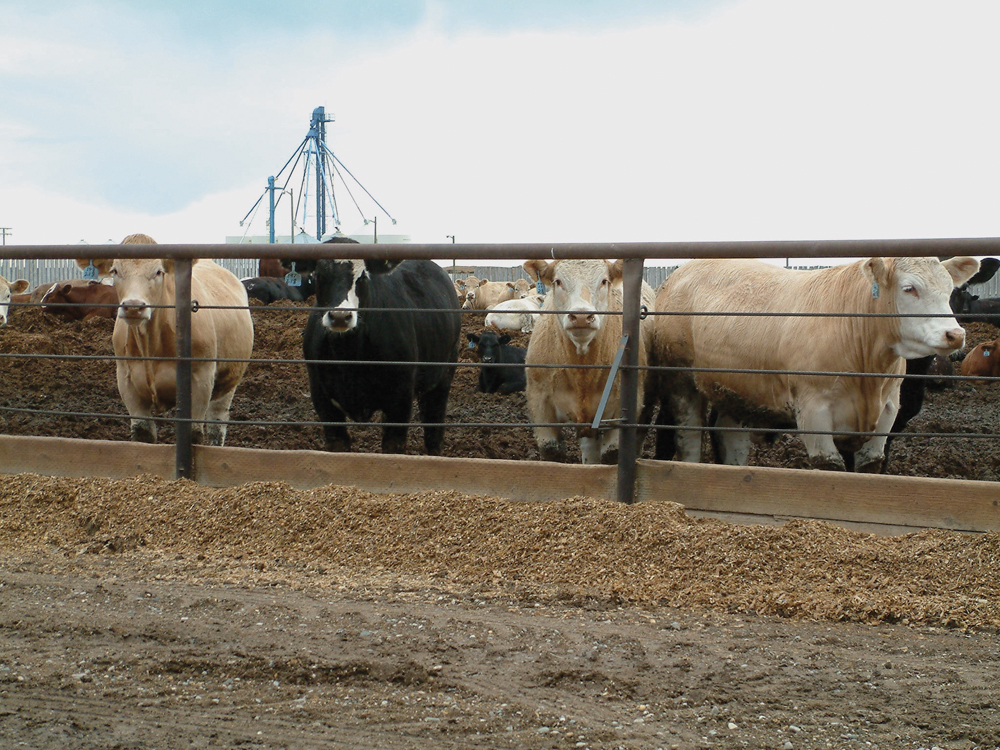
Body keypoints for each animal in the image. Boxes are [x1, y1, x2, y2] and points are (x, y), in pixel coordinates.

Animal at [83, 233, 254, 446]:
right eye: (115, 270)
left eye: (158, 272)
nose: (133, 306)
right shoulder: (126, 380)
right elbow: (143, 433)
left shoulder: (201, 379)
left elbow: (194, 434)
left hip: (229, 381)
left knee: (217, 425)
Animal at [303, 245, 462, 455]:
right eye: (319, 275)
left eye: (362, 277)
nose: (340, 316)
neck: (350, 357)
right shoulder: (323, 400)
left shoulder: (400, 400)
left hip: (442, 377)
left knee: (433, 430)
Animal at [523, 258, 650, 465]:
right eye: (558, 281)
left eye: (604, 281)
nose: (582, 316)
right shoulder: (539, 402)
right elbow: (551, 452)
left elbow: (612, 454)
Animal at [649, 256, 980, 472]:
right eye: (909, 288)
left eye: (950, 290)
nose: (955, 334)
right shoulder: (813, 410)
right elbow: (829, 466)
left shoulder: (888, 411)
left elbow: (871, 466)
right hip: (680, 380)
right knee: (688, 436)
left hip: (736, 391)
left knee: (730, 438)